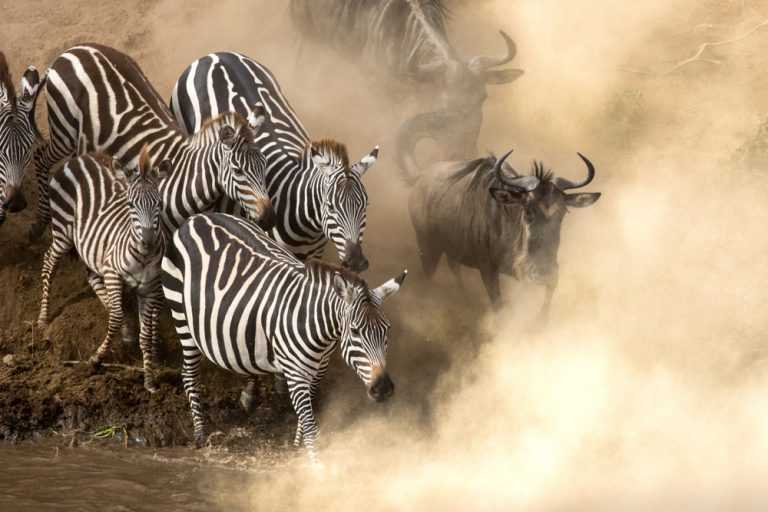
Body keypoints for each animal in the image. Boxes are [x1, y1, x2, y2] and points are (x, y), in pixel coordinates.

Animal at [30, 42, 276, 240]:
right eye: (238, 171)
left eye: (264, 165)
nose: (270, 218)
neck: (182, 179)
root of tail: (71, 51)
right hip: (63, 131)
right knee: (40, 157)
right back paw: (40, 222)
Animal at [37, 146, 168, 394]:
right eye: (130, 205)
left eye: (158, 204)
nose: (148, 242)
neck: (143, 257)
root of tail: (80, 157)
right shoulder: (113, 274)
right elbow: (115, 317)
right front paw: (96, 359)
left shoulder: (148, 288)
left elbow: (145, 336)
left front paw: (149, 381)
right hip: (63, 231)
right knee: (49, 262)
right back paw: (42, 318)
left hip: (93, 248)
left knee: (90, 275)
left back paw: (126, 330)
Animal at [163, 212, 408, 460]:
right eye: (355, 331)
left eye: (387, 329)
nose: (383, 388)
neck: (320, 330)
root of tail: (197, 217)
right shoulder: (295, 372)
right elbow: (311, 428)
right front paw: (316, 466)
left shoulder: (318, 370)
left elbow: (306, 419)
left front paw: (297, 448)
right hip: (181, 316)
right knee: (189, 375)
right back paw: (201, 434)